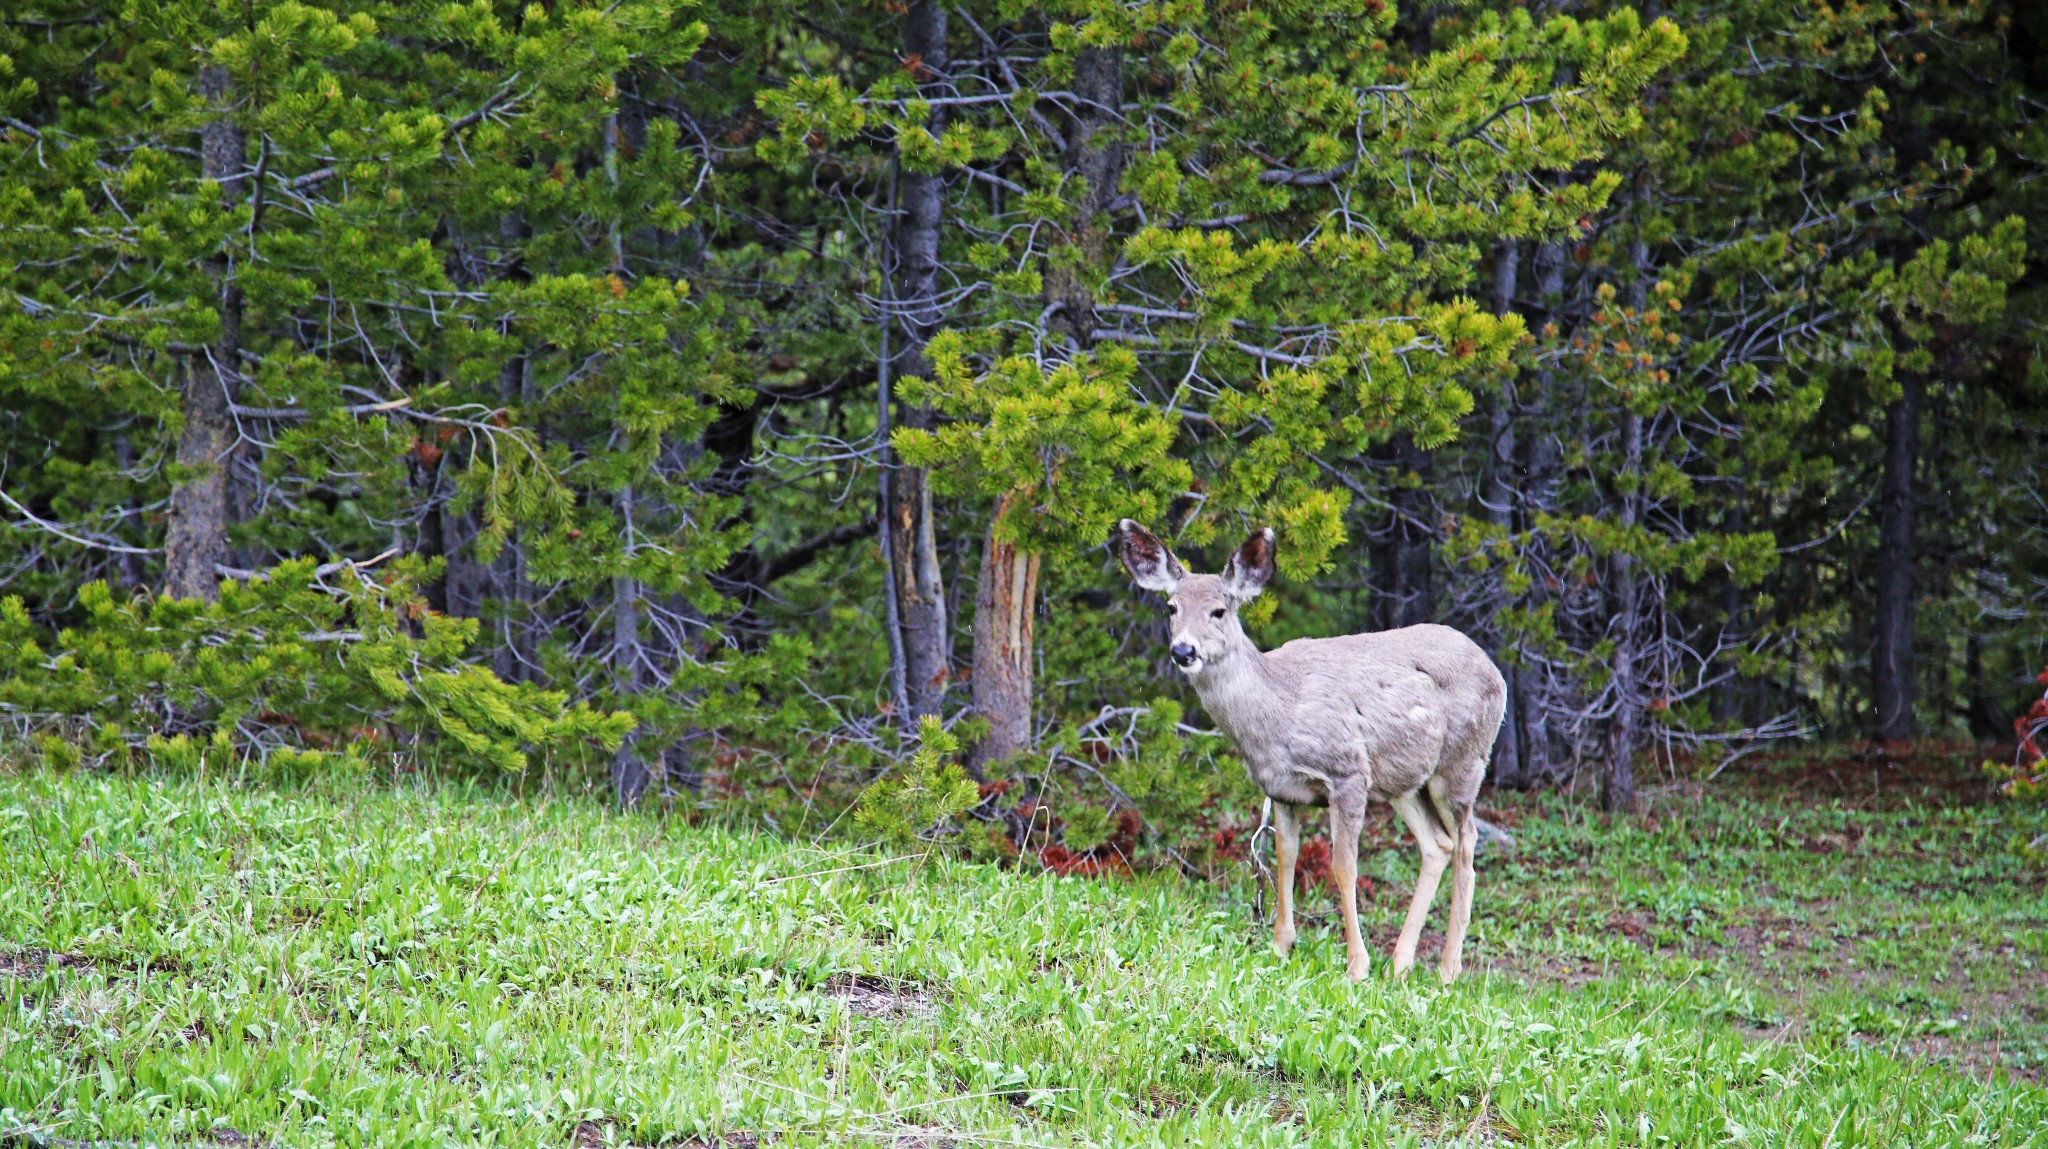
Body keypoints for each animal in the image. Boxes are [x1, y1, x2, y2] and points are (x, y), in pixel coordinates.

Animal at [1114, 524, 1515, 983]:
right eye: (1171, 607)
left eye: (1219, 610)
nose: (1184, 651)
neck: (1277, 710)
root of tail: (1496, 672)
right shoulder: (1281, 789)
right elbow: (1284, 857)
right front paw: (1280, 944)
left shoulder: (1348, 772)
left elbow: (1343, 866)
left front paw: (1357, 964)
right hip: (1403, 781)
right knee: (1437, 844)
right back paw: (1400, 963)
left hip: (1462, 762)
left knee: (1468, 841)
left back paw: (1447, 969)